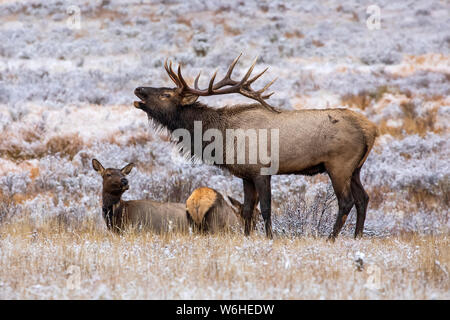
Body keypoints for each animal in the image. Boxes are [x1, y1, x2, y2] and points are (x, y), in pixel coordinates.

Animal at [133, 54, 376, 240]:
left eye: (166, 94)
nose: (138, 89)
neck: (224, 138)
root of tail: (371, 131)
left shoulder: (262, 170)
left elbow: (266, 208)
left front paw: (269, 237)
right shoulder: (246, 175)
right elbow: (248, 209)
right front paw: (247, 237)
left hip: (339, 165)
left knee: (346, 202)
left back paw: (331, 238)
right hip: (356, 168)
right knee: (363, 199)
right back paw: (357, 237)